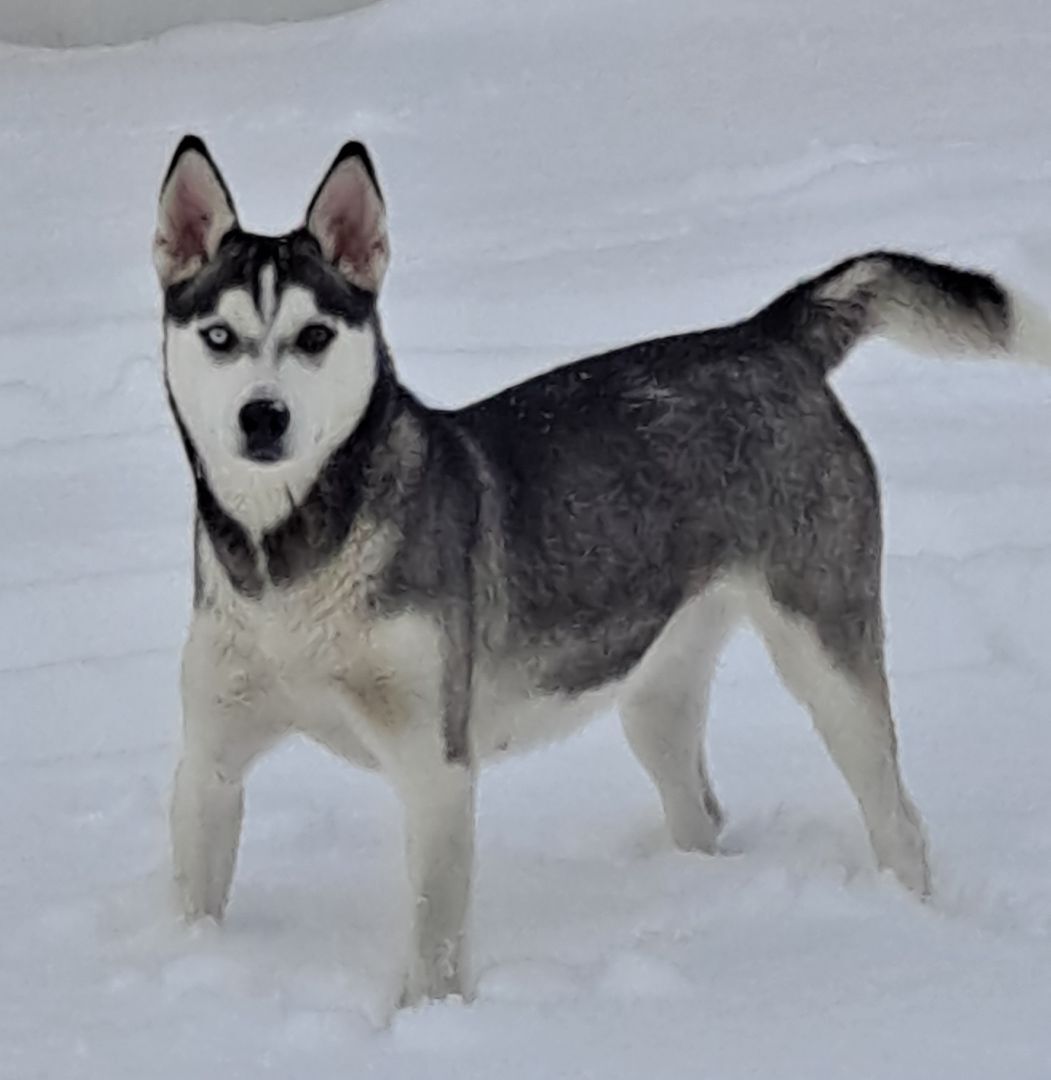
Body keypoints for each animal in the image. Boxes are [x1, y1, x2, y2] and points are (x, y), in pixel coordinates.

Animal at [155, 135, 1049, 1002]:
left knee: (898, 817)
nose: (262, 416)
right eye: (219, 337)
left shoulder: (435, 766)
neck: (288, 564)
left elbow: (433, 945)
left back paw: (912, 924)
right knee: (701, 810)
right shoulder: (208, 759)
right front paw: (191, 974)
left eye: (313, 336)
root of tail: (766, 336)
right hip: (655, 691)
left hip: (824, 653)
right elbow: (195, 897)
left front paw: (424, 1022)